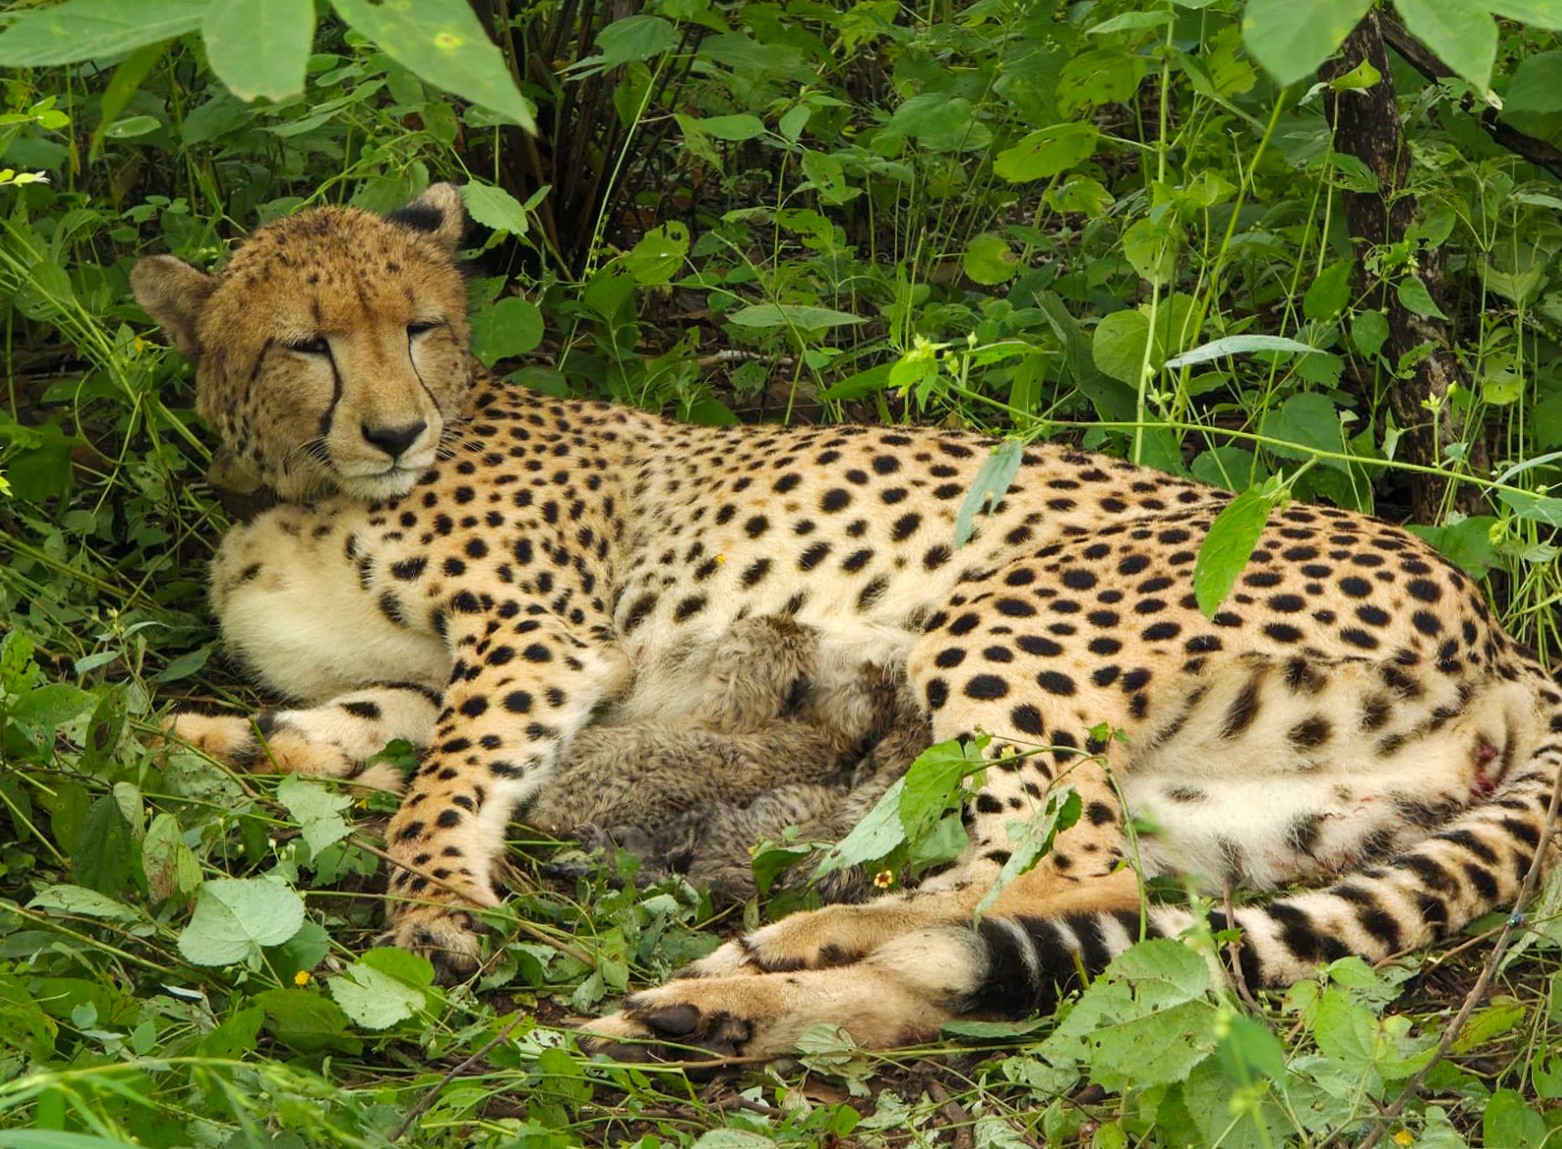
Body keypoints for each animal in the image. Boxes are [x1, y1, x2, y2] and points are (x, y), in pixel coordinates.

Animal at [131, 184, 1562, 1062]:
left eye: (422, 326)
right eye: (305, 343)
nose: (393, 430)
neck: (302, 488)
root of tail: (1503, 635)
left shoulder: (541, 643)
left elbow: (441, 782)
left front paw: (430, 905)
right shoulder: (451, 673)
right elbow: (348, 728)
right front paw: (199, 741)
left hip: (1005, 614)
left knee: (1064, 876)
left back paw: (765, 957)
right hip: (1236, 808)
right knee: (1046, 913)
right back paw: (729, 999)